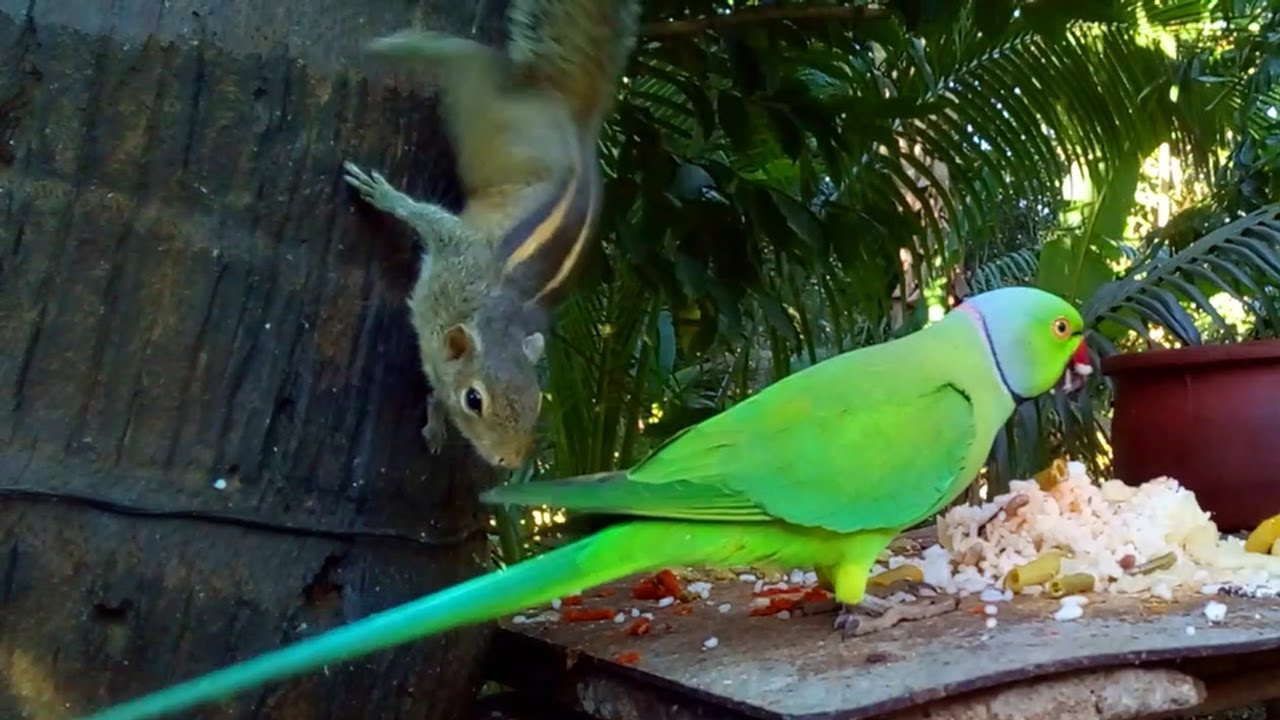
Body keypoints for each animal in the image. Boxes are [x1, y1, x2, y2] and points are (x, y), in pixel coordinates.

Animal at [343, 0, 640, 469]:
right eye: (475, 400)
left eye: (537, 404)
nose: (510, 463)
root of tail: (574, 123)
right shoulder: (458, 251)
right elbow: (429, 218)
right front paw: (385, 195)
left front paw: (435, 423)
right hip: (487, 119)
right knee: (472, 61)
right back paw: (397, 45)